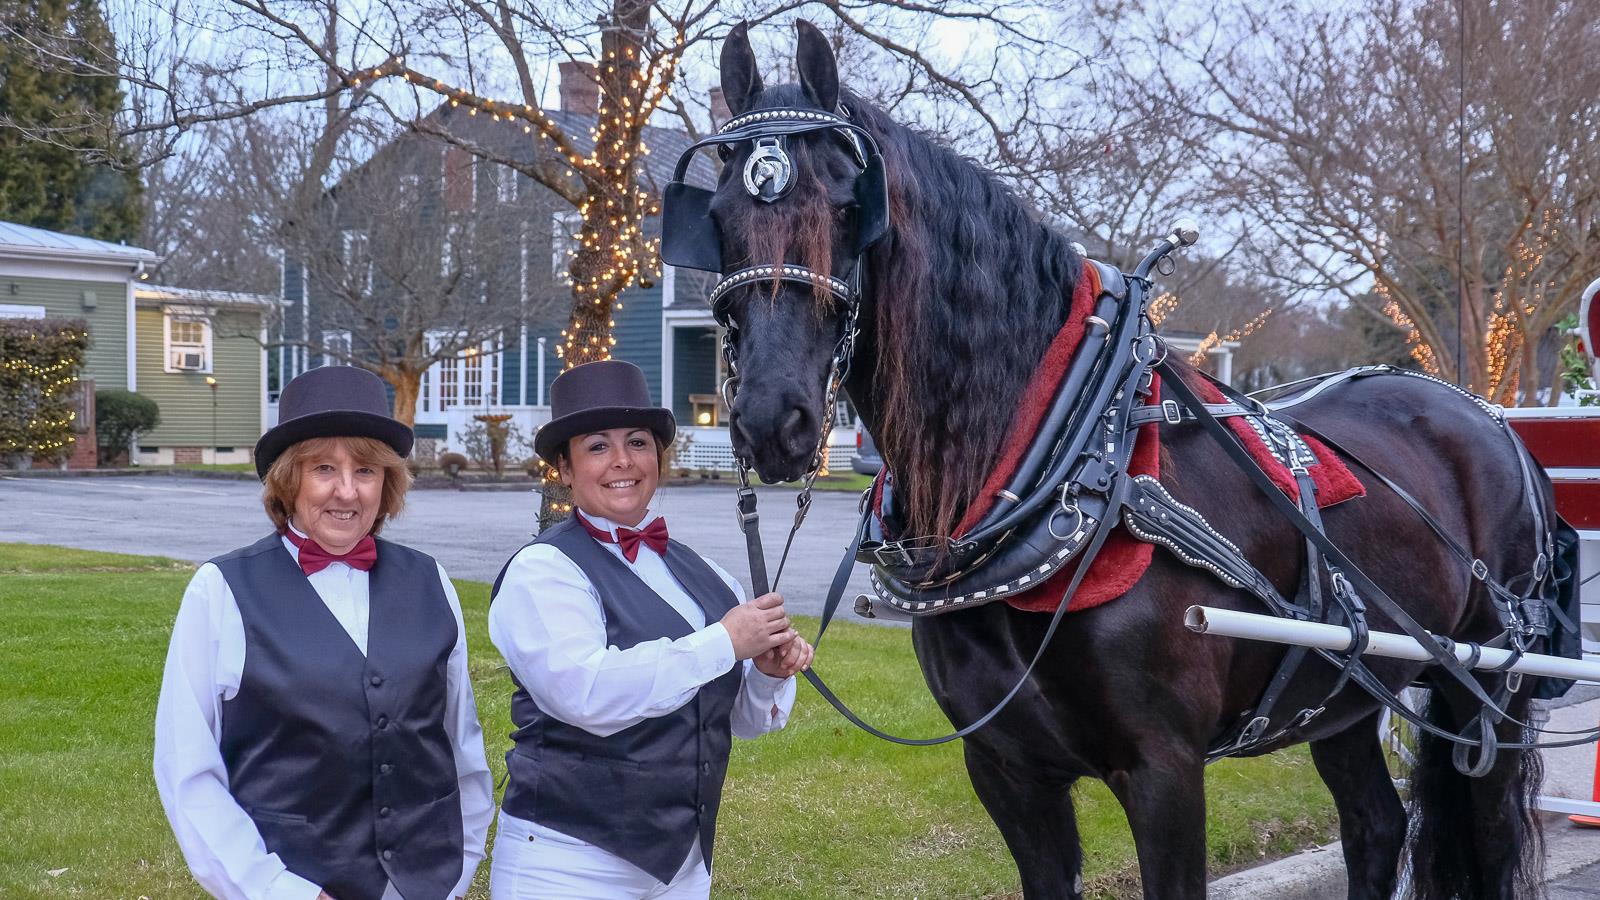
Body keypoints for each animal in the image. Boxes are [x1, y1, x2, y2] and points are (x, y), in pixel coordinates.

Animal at [710, 21, 1548, 896]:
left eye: (848, 208)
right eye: (718, 215)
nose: (771, 417)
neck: (1064, 465)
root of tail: (1486, 415)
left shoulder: (1164, 770)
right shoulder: (1007, 771)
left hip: (1488, 688)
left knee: (1488, 830)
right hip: (1342, 692)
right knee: (1375, 825)